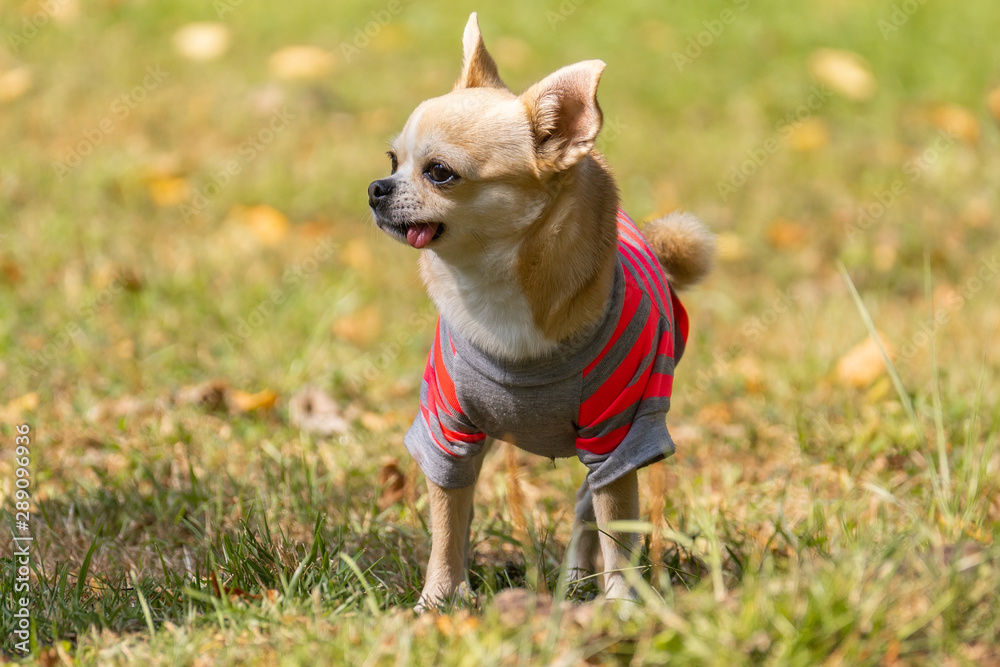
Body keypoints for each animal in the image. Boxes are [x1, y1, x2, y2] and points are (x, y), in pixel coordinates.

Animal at [368, 14, 712, 612]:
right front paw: (438, 599)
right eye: (393, 161)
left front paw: (622, 605)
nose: (376, 188)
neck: (494, 291)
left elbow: (617, 532)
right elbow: (447, 522)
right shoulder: (447, 433)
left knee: (587, 510)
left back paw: (577, 579)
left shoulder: (619, 440)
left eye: (440, 173)